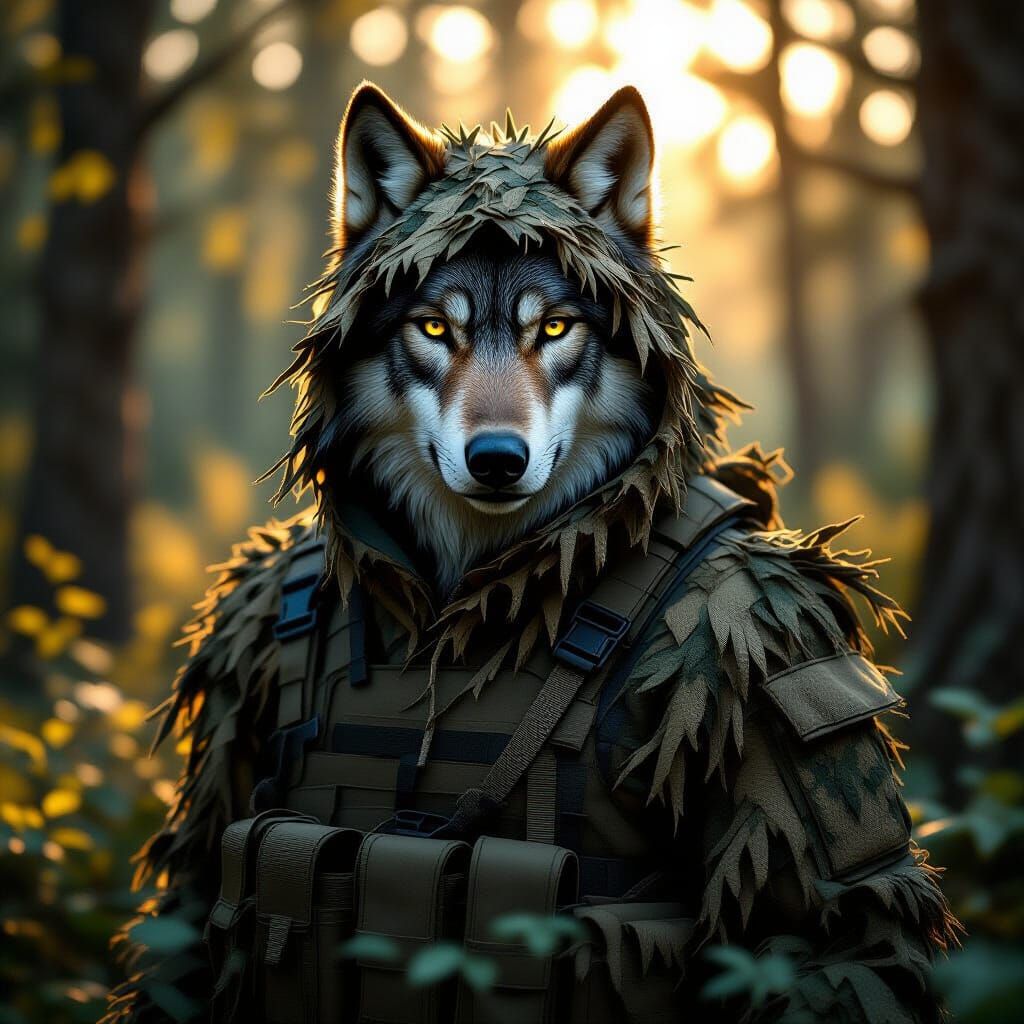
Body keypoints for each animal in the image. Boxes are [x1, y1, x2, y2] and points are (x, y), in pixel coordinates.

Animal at [105, 84, 956, 1024]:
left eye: (553, 327)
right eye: (433, 327)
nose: (497, 460)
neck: (456, 611)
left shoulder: (768, 639)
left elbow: (835, 938)